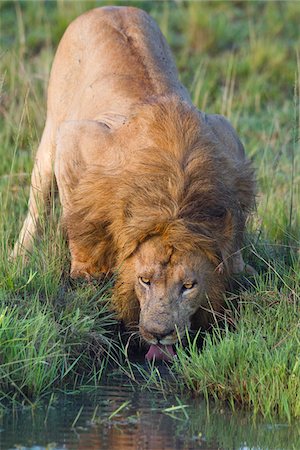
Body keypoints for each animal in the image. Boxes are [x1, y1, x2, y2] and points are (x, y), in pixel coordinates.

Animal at [12, 6, 254, 358]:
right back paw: (19, 258)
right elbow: (81, 228)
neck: (174, 200)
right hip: (52, 131)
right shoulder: (76, 139)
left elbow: (233, 252)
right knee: (38, 204)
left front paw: (241, 270)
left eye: (189, 286)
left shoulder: (228, 141)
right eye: (144, 280)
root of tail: (107, 7)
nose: (159, 334)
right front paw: (88, 275)